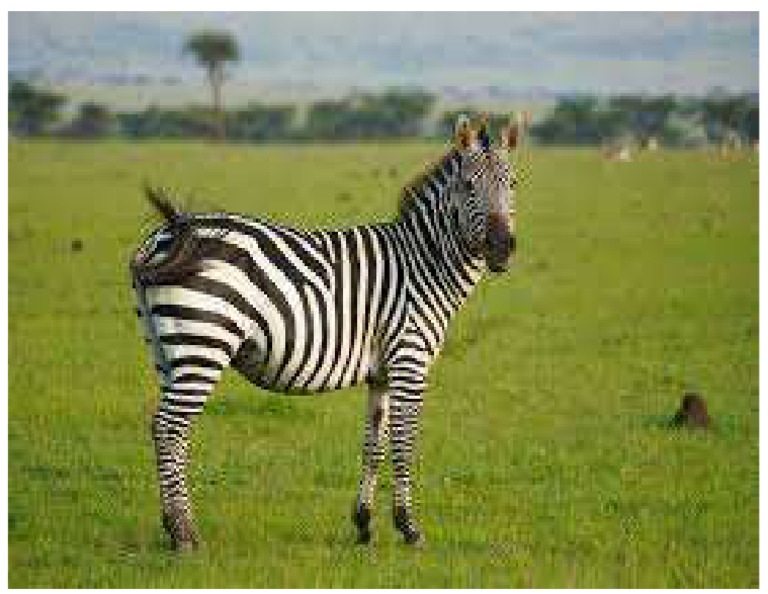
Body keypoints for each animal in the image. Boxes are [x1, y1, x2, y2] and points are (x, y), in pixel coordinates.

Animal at [130, 115, 521, 550]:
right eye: (469, 185)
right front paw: (409, 527)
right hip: (203, 343)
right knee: (170, 428)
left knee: (167, 430)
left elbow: (374, 446)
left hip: (168, 350)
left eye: (512, 183)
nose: (502, 247)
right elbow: (404, 443)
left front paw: (364, 524)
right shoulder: (409, 361)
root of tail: (168, 234)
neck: (424, 263)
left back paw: (173, 526)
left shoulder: (381, 373)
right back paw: (184, 533)